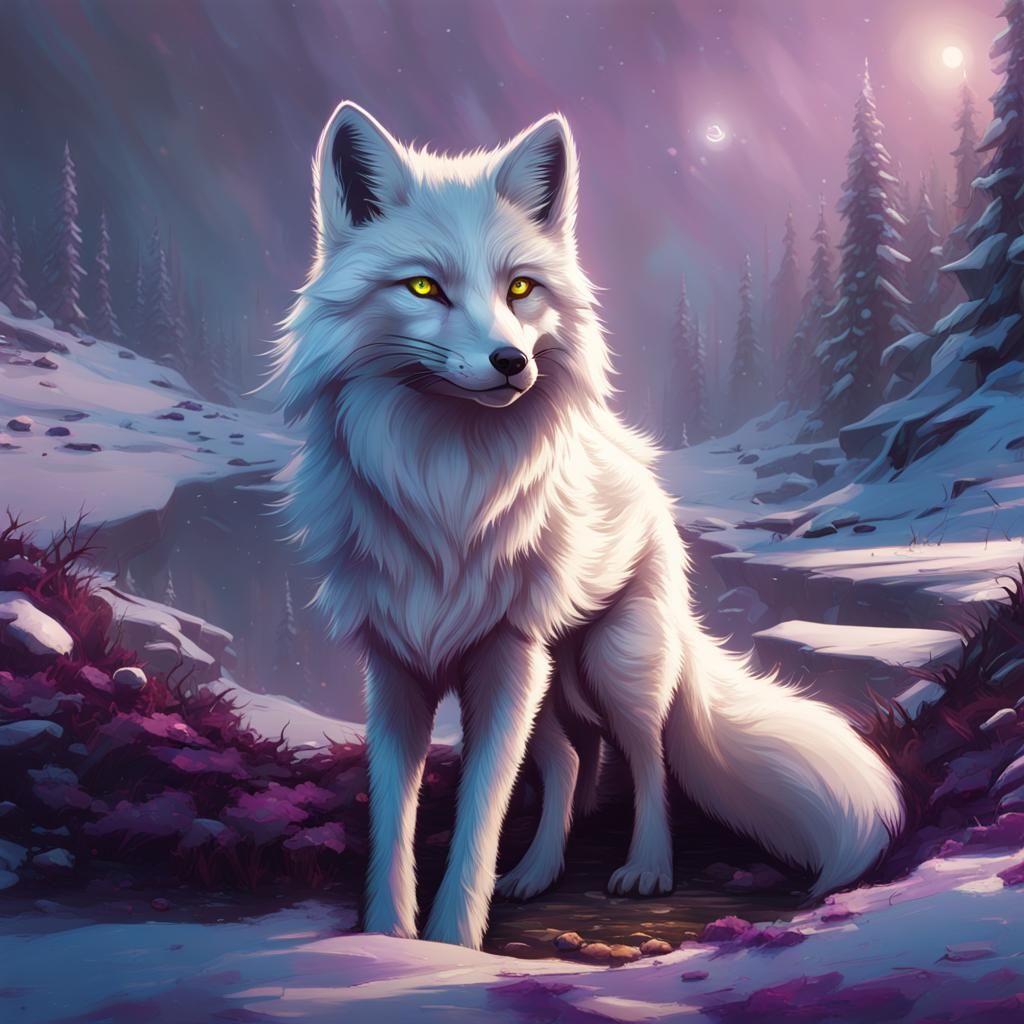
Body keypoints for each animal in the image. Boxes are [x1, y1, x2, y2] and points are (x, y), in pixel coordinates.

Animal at [271, 101, 905, 951]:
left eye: (521, 288)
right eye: (424, 287)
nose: (511, 362)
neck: (445, 482)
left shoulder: (505, 656)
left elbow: (480, 815)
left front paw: (451, 948)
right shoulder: (396, 664)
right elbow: (392, 821)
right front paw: (386, 941)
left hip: (611, 664)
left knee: (645, 758)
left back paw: (646, 869)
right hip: (550, 676)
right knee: (572, 763)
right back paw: (537, 873)